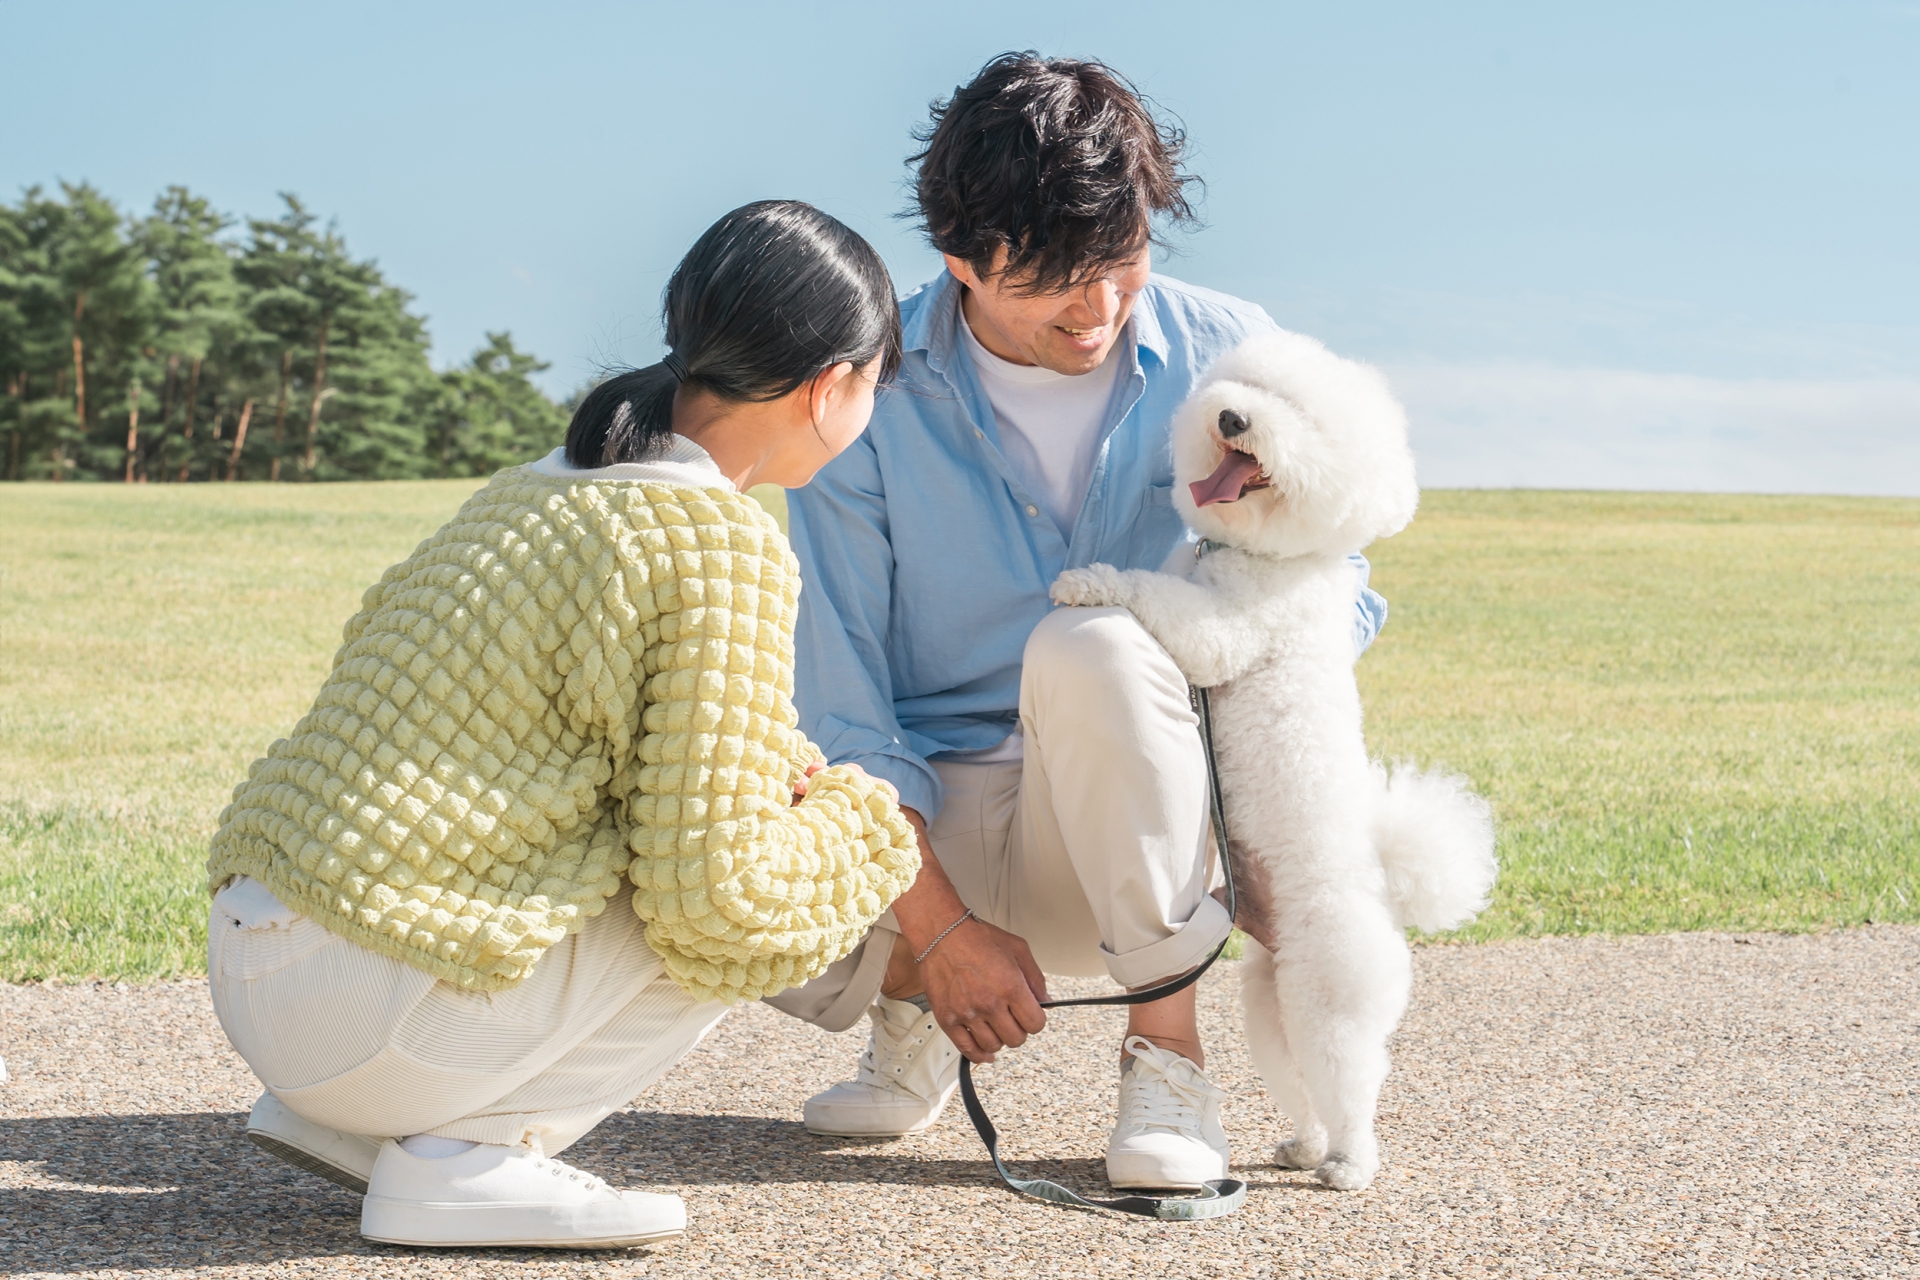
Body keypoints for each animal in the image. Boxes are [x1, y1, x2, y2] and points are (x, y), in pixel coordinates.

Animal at [1052, 328, 1497, 1189]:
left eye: (1302, 418)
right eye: (1253, 388)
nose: (1232, 417)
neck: (1264, 555)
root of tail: (1388, 897)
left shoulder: (1223, 633)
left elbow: (1154, 597)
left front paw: (1088, 580)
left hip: (1330, 999)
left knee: (1352, 1085)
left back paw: (1351, 1165)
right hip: (1268, 1000)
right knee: (1299, 1085)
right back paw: (1303, 1146)